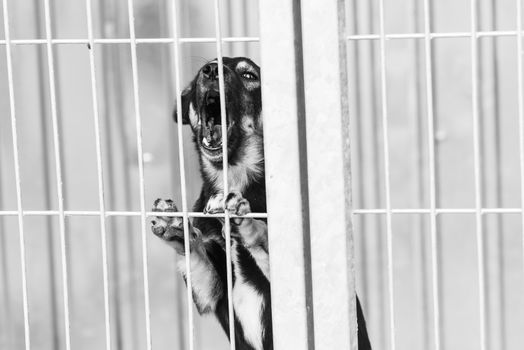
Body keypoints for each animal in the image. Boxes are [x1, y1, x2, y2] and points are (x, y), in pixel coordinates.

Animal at [151, 57, 372, 350]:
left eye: (248, 75)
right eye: (202, 71)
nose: (211, 71)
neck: (233, 176)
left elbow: (262, 238)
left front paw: (245, 223)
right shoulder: (209, 293)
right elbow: (194, 251)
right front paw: (174, 227)